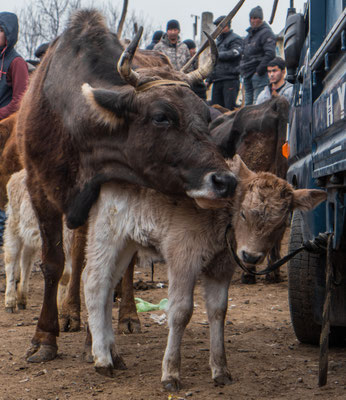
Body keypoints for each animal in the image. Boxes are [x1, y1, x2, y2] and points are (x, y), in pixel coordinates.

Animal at [16, 9, 238, 362]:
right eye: (161, 116)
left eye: (206, 116)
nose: (225, 180)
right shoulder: (40, 190)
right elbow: (54, 263)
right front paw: (45, 337)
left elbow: (105, 267)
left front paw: (97, 339)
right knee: (77, 254)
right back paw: (71, 312)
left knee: (127, 264)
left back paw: (128, 315)